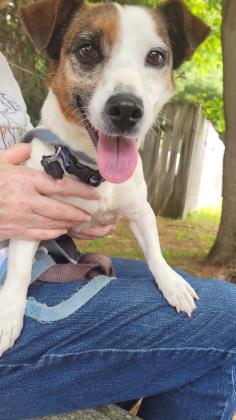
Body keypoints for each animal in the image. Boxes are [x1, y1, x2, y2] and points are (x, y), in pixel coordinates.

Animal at [0, 0, 210, 356]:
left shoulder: (141, 211)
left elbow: (155, 252)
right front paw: (7, 314)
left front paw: (171, 281)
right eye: (87, 50)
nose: (126, 109)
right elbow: (17, 274)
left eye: (156, 57)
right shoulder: (32, 218)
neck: (92, 171)